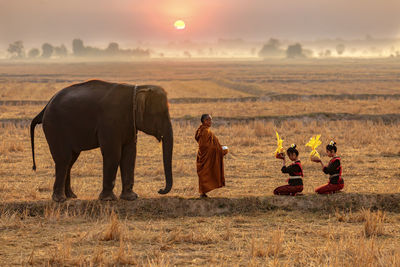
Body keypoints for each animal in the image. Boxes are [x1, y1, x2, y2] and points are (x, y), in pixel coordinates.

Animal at [30, 79, 174, 203]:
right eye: (160, 114)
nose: (160, 190)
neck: (138, 89)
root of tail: (45, 107)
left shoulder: (130, 124)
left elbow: (130, 154)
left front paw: (131, 198)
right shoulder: (110, 121)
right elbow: (113, 153)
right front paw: (109, 199)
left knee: (70, 160)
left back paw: (71, 196)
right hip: (55, 127)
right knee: (64, 160)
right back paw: (60, 199)